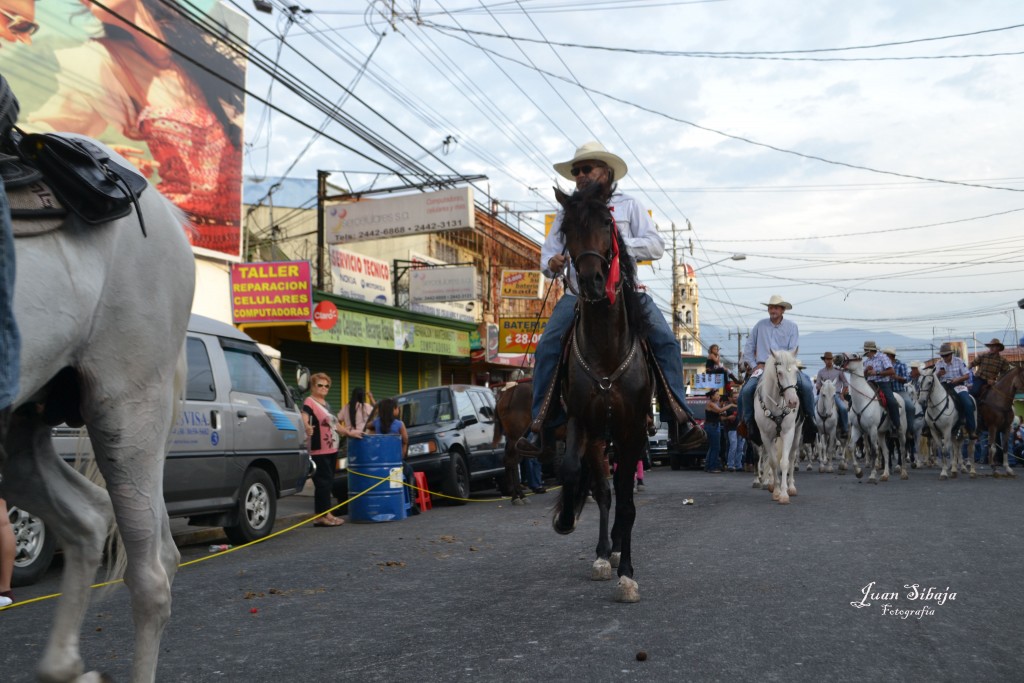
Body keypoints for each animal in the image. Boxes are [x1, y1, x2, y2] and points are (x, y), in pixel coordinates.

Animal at [749, 352, 802, 501]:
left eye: (796, 371)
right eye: (779, 373)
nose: (793, 402)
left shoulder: (788, 432)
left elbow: (784, 462)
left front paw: (784, 494)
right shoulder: (765, 436)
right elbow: (772, 462)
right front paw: (776, 491)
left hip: (797, 432)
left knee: (792, 457)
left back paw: (791, 487)